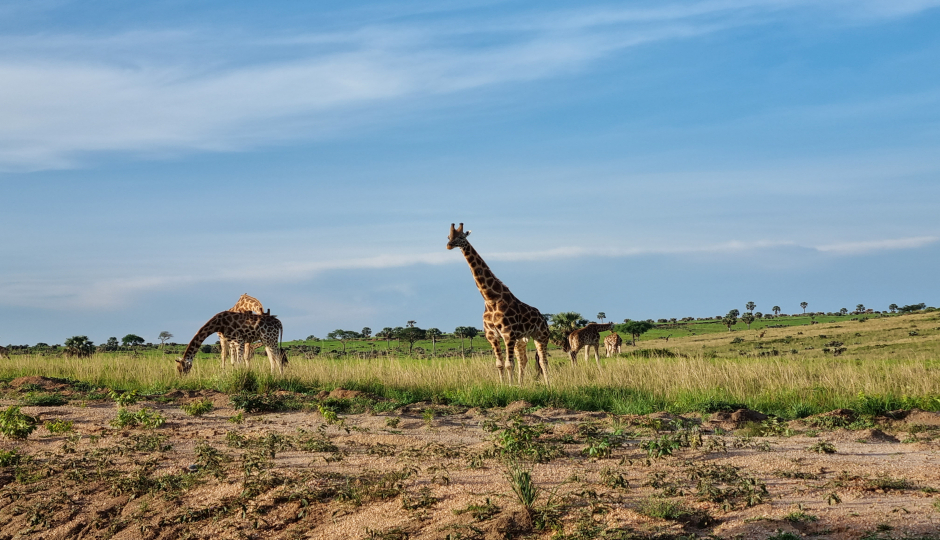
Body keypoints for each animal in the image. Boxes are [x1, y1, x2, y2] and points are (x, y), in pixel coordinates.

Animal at [446, 225, 552, 388]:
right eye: (448, 236)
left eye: (461, 237)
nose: (449, 245)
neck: (490, 299)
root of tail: (543, 318)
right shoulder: (492, 335)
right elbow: (500, 364)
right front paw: (504, 386)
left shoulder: (508, 334)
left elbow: (509, 364)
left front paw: (510, 386)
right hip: (521, 340)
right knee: (523, 360)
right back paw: (521, 383)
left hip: (541, 336)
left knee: (542, 361)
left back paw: (548, 385)